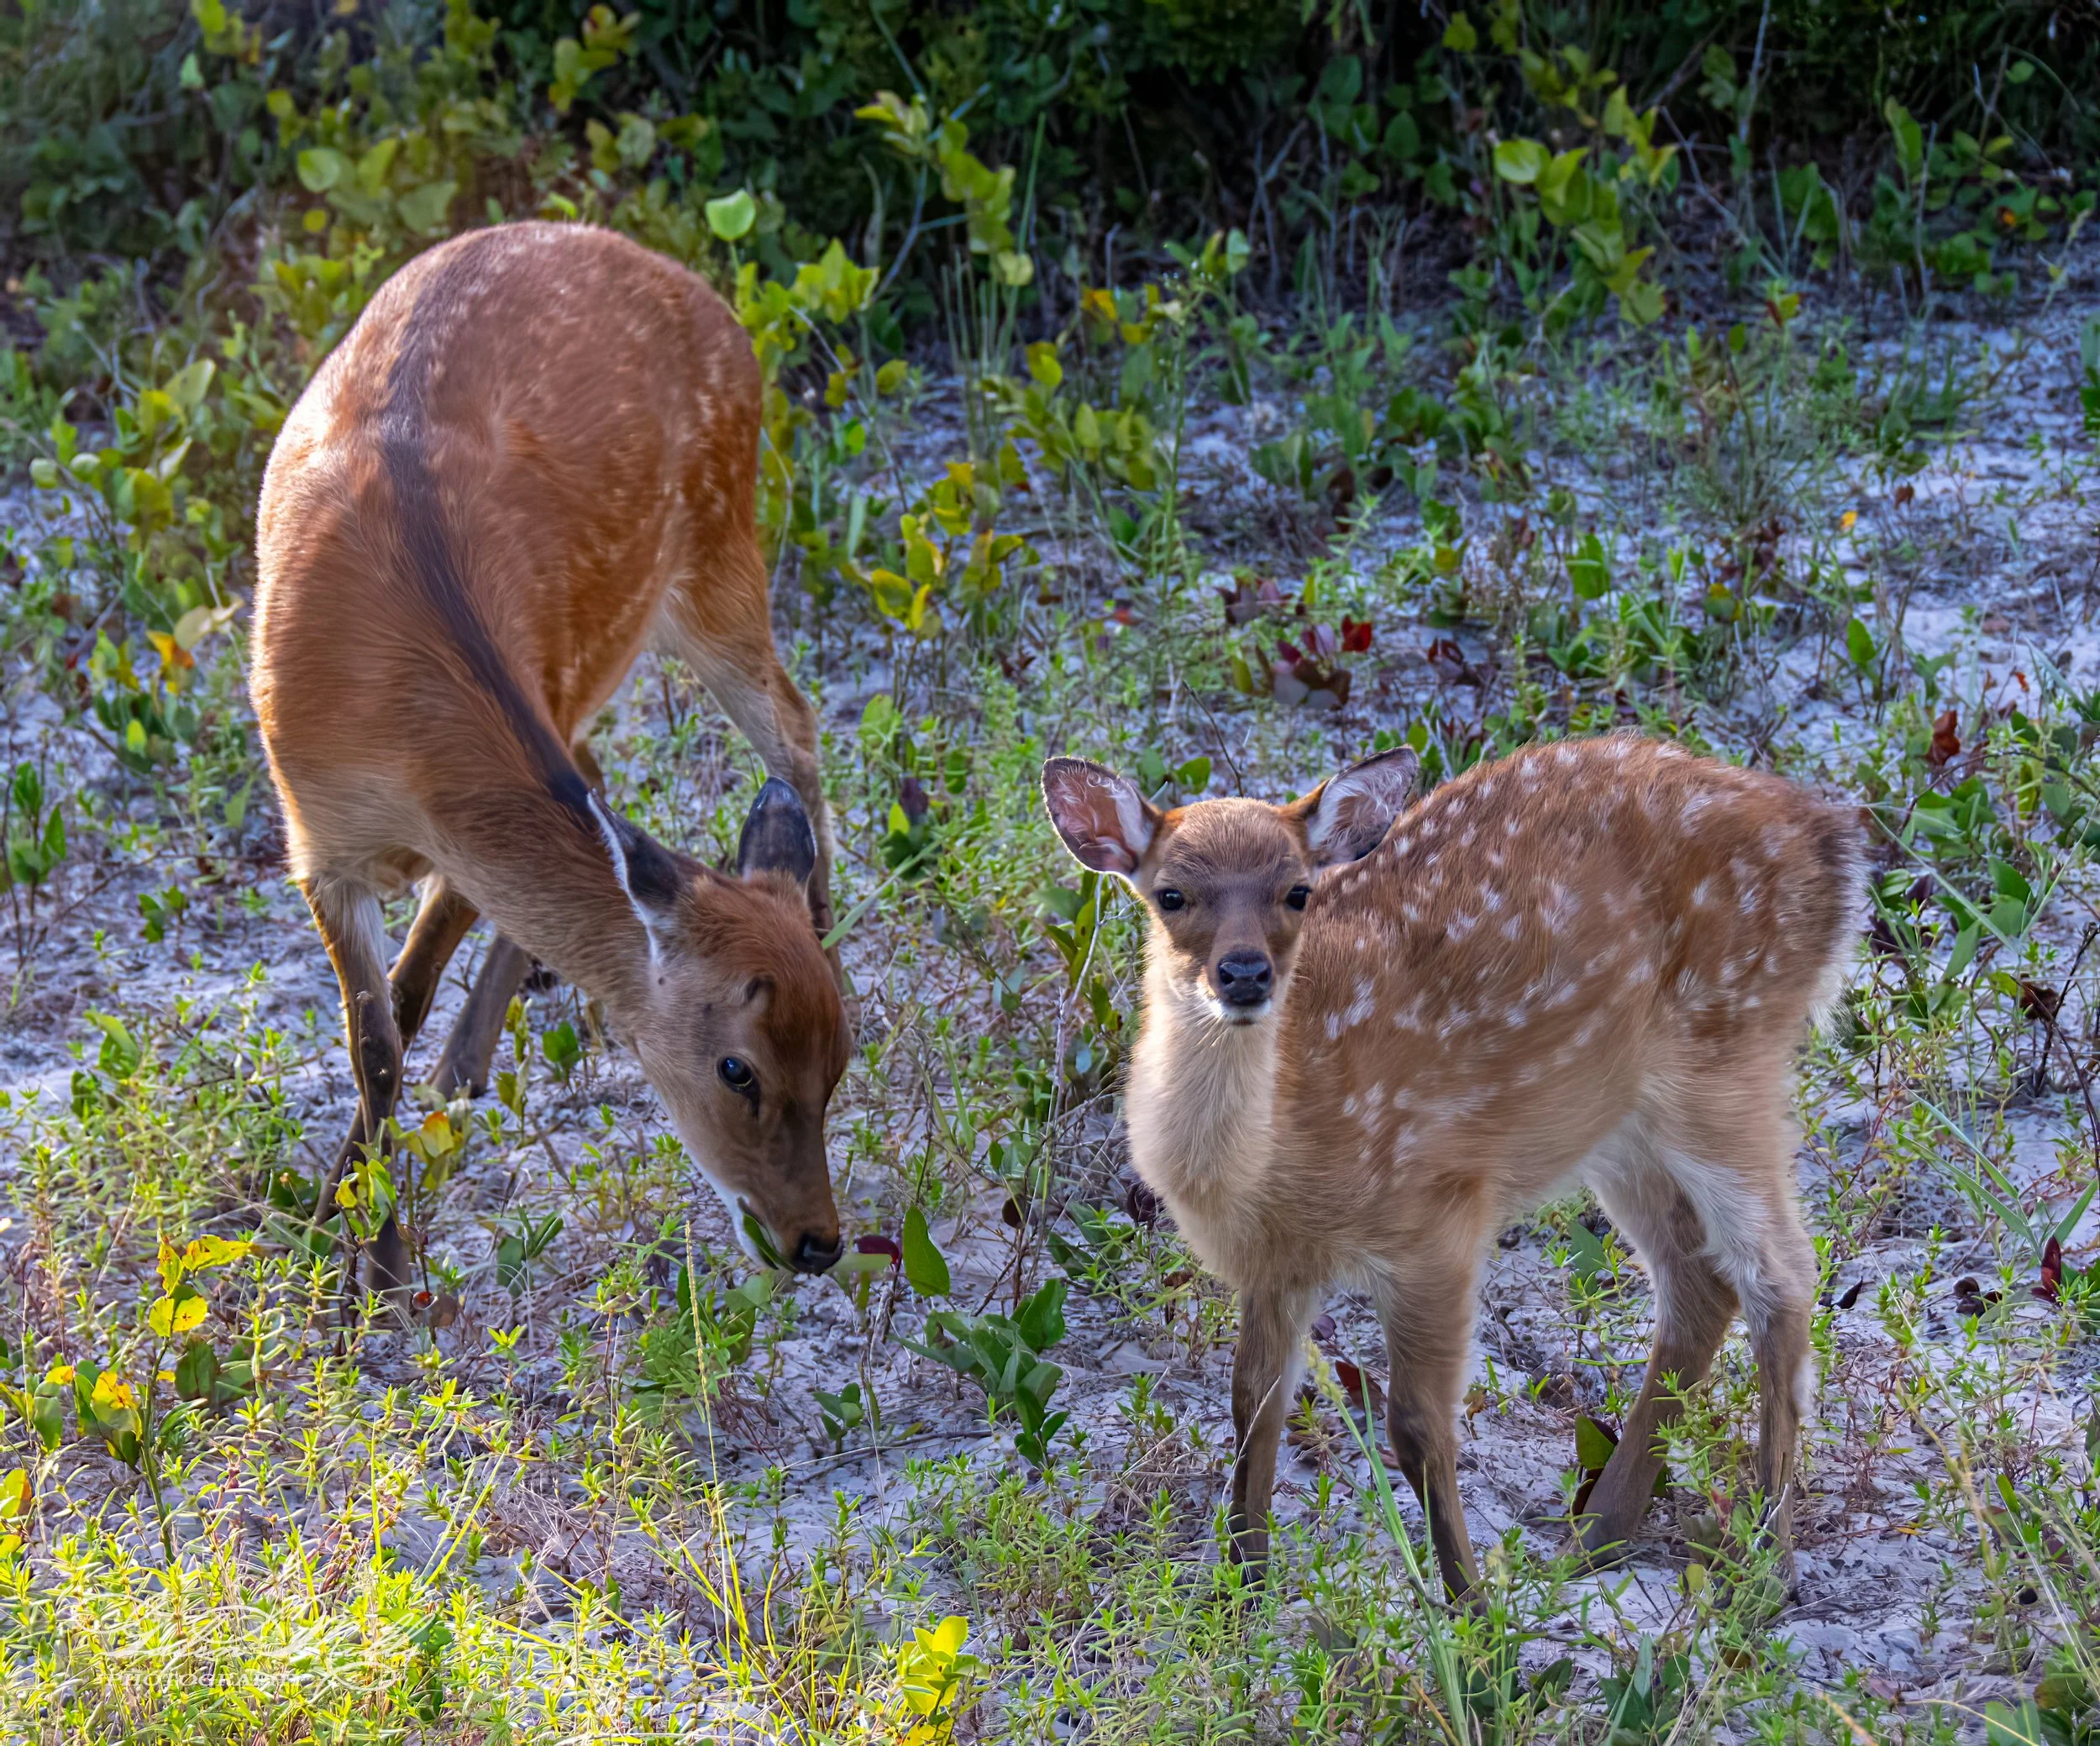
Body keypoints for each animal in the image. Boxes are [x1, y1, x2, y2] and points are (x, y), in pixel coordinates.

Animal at [253, 221, 850, 1298]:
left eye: (842, 1062)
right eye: (737, 1066)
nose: (817, 1241)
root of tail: (686, 278)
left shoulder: (458, 835)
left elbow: (404, 999)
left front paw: (364, 1253)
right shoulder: (313, 839)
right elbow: (376, 1037)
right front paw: (346, 1249)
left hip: (714, 545)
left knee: (789, 721)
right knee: (669, 754)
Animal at [1043, 733, 1862, 1600]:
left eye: (1298, 891)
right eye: (1170, 893)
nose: (1244, 974)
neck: (1276, 1155)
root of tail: (1830, 837)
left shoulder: (1437, 1216)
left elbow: (1415, 1424)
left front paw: (1471, 1606)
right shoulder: (1276, 1265)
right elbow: (1252, 1403)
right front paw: (1244, 1591)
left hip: (1727, 1058)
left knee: (1781, 1276)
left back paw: (1766, 1564)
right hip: (1620, 1123)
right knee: (1699, 1282)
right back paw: (1595, 1540)